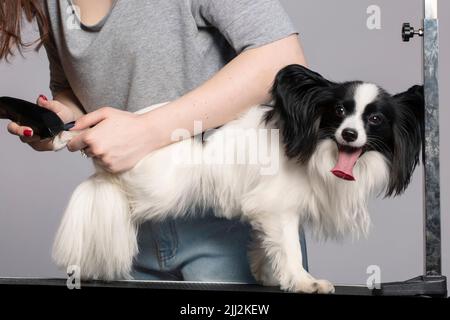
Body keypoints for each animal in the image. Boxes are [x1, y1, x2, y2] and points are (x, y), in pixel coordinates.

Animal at [51, 64, 424, 292]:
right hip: (158, 188)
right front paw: (303, 281)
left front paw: (269, 276)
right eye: (339, 111)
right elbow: (289, 248)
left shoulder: (264, 209)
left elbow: (266, 245)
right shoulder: (279, 210)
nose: (349, 134)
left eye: (374, 119)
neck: (313, 145)